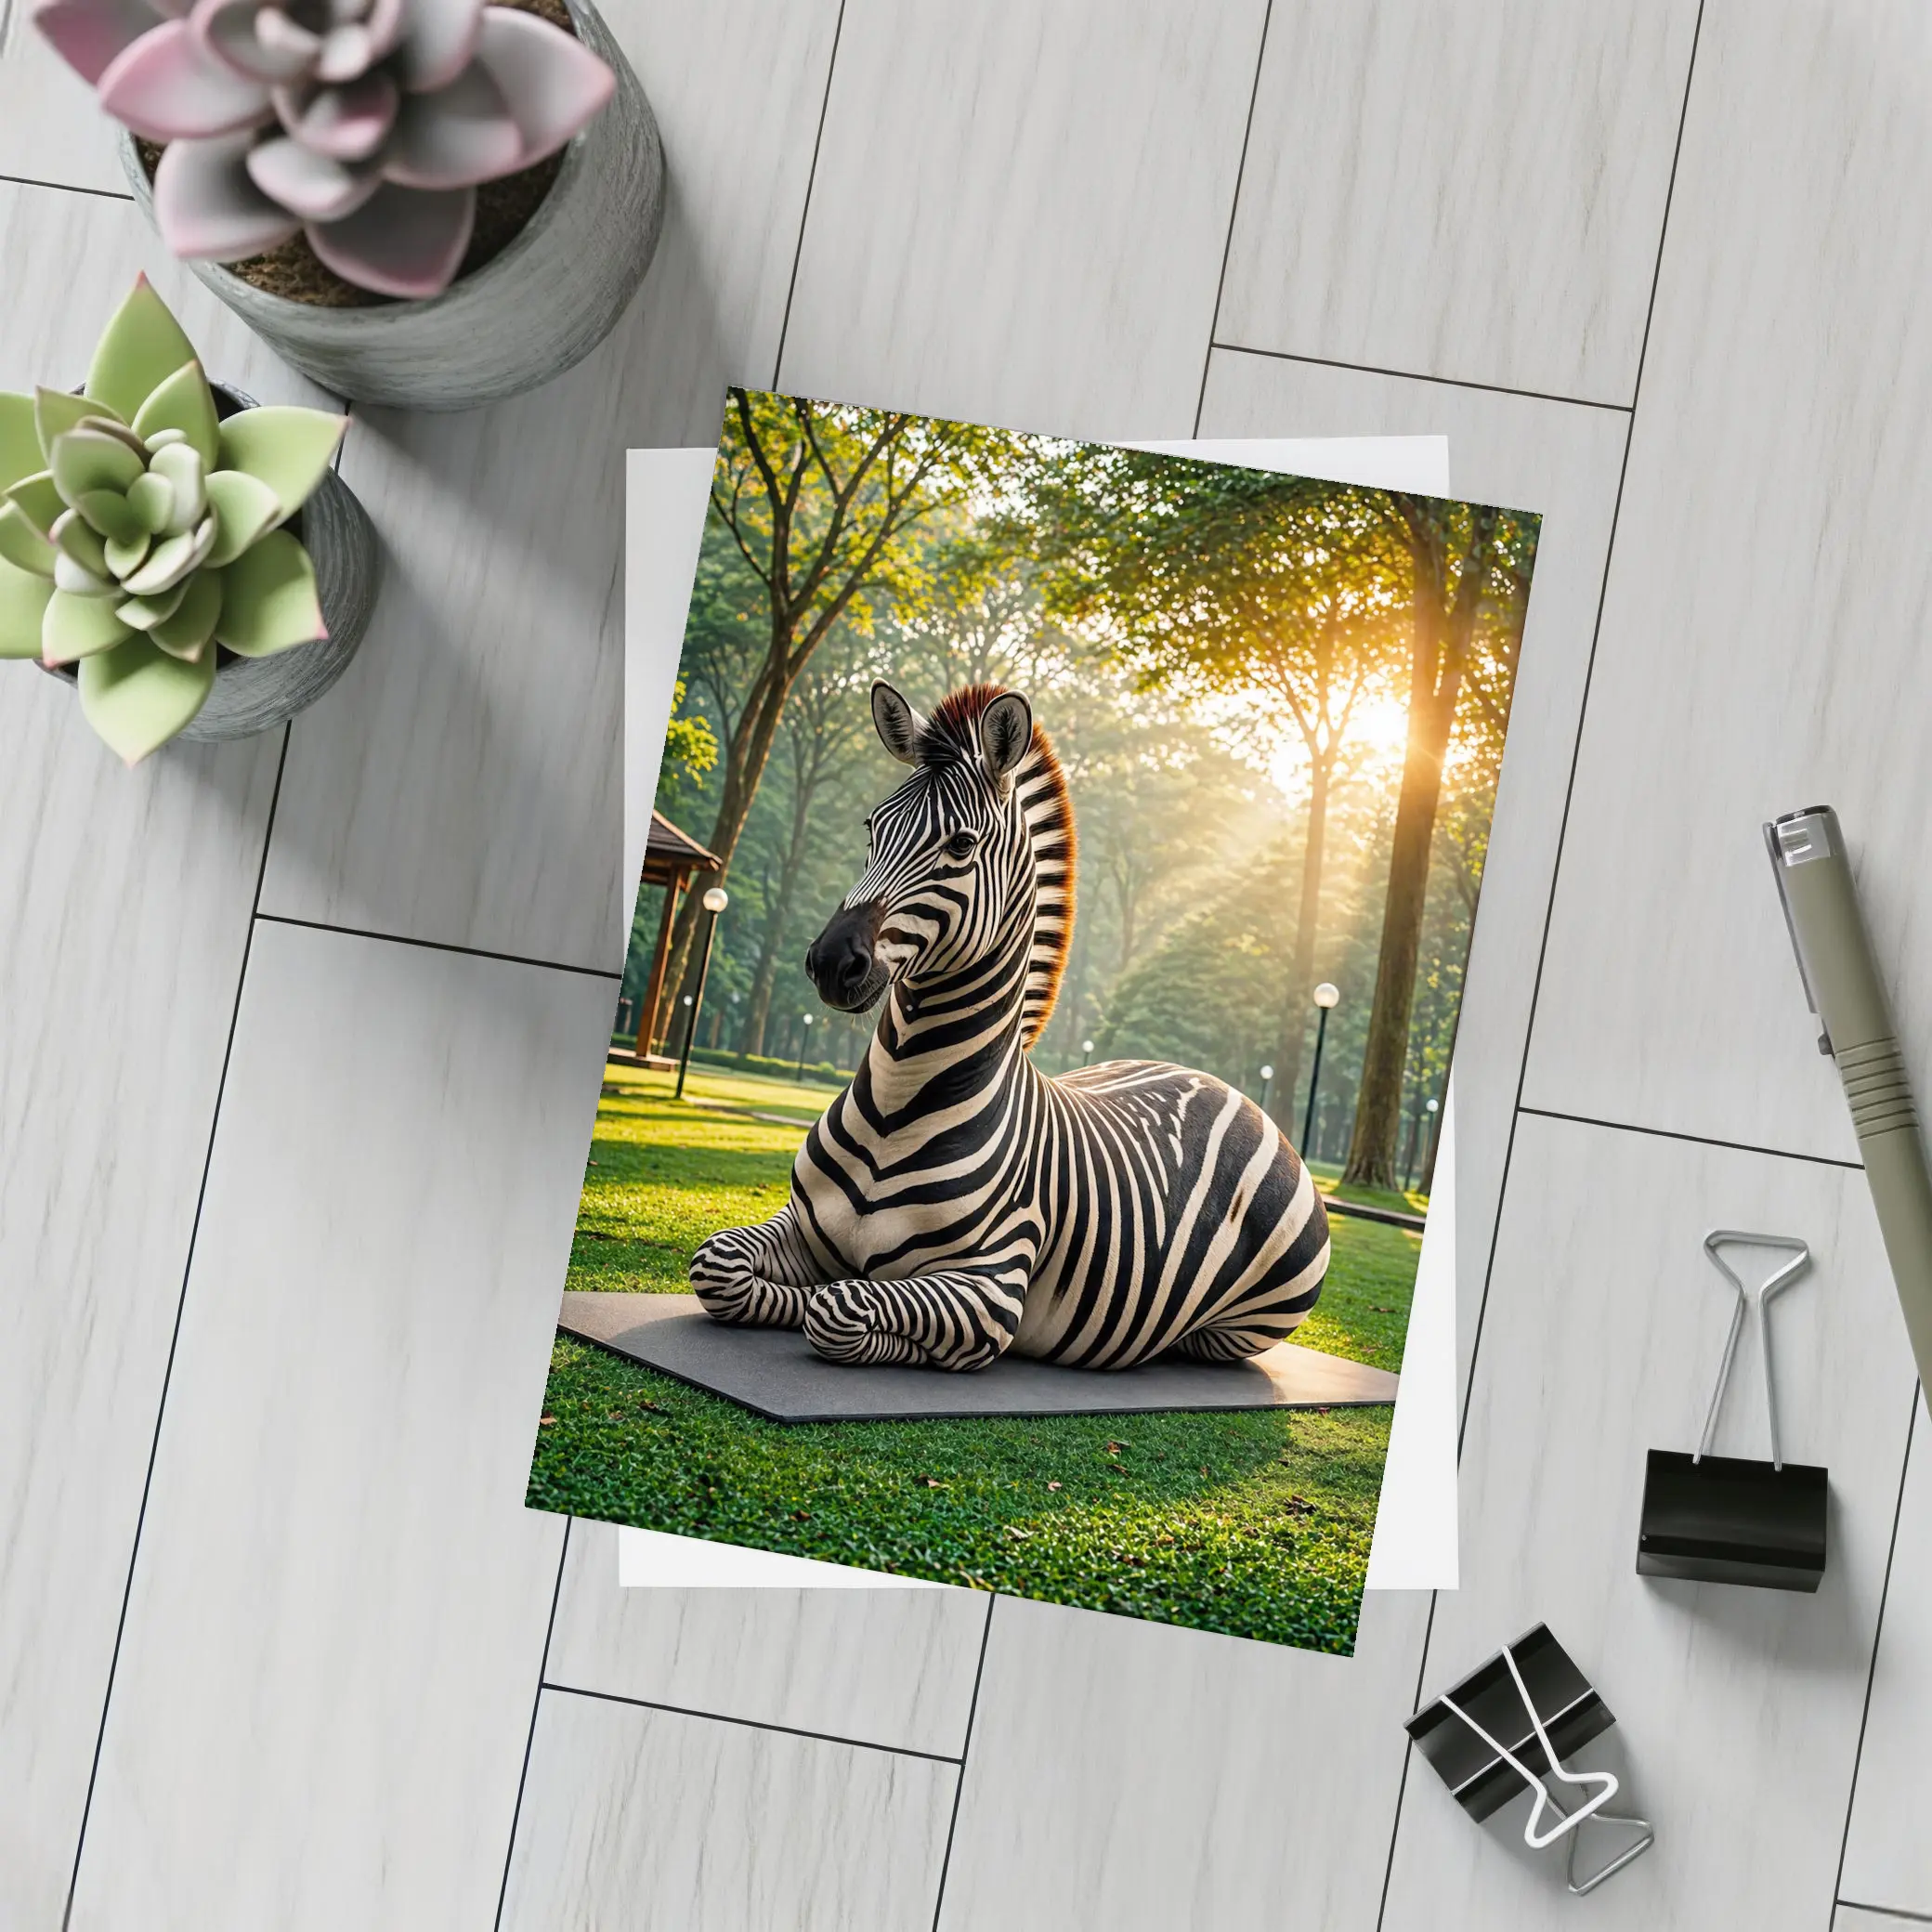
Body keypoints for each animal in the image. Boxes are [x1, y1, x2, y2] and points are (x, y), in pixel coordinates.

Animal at [689, 680, 1331, 1372]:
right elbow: (719, 1266)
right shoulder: (803, 1228)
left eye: (961, 846)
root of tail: (1230, 1090)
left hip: (1245, 1323)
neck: (894, 1105)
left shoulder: (992, 1286)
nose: (833, 962)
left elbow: (839, 1309)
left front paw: (897, 1336)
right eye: (872, 828)